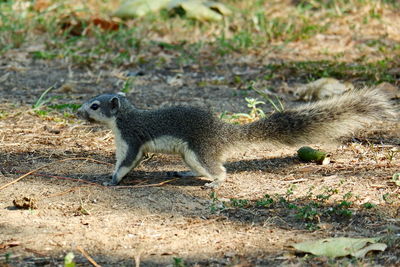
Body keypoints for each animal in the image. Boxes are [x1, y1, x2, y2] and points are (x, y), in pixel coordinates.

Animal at [76, 89, 396, 187]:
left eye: (95, 106)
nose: (77, 112)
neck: (123, 119)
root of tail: (221, 131)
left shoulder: (131, 137)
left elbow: (126, 163)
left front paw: (112, 180)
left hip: (200, 149)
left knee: (219, 169)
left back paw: (215, 182)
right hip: (189, 154)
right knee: (199, 169)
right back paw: (185, 174)